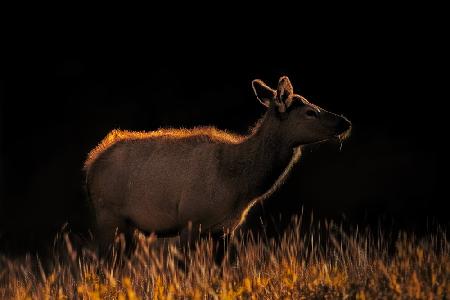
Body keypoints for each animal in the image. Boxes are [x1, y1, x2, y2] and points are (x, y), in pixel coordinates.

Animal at [84, 76, 352, 252]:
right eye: (310, 112)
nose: (345, 122)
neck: (240, 186)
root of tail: (90, 164)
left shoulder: (225, 229)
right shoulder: (190, 220)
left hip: (129, 226)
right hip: (108, 214)